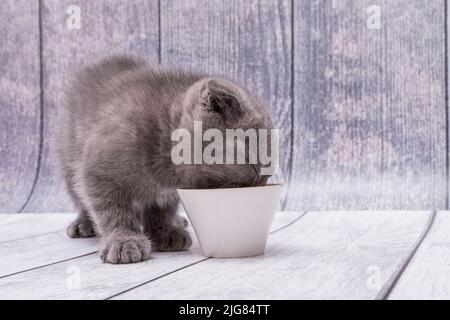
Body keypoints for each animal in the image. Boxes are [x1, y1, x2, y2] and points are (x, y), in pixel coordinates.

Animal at [57, 56, 272, 264]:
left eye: (266, 177)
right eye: (254, 165)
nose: (260, 184)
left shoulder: (170, 192)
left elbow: (162, 207)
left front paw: (165, 231)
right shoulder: (97, 169)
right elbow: (112, 209)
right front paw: (124, 240)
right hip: (67, 157)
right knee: (79, 195)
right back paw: (83, 223)